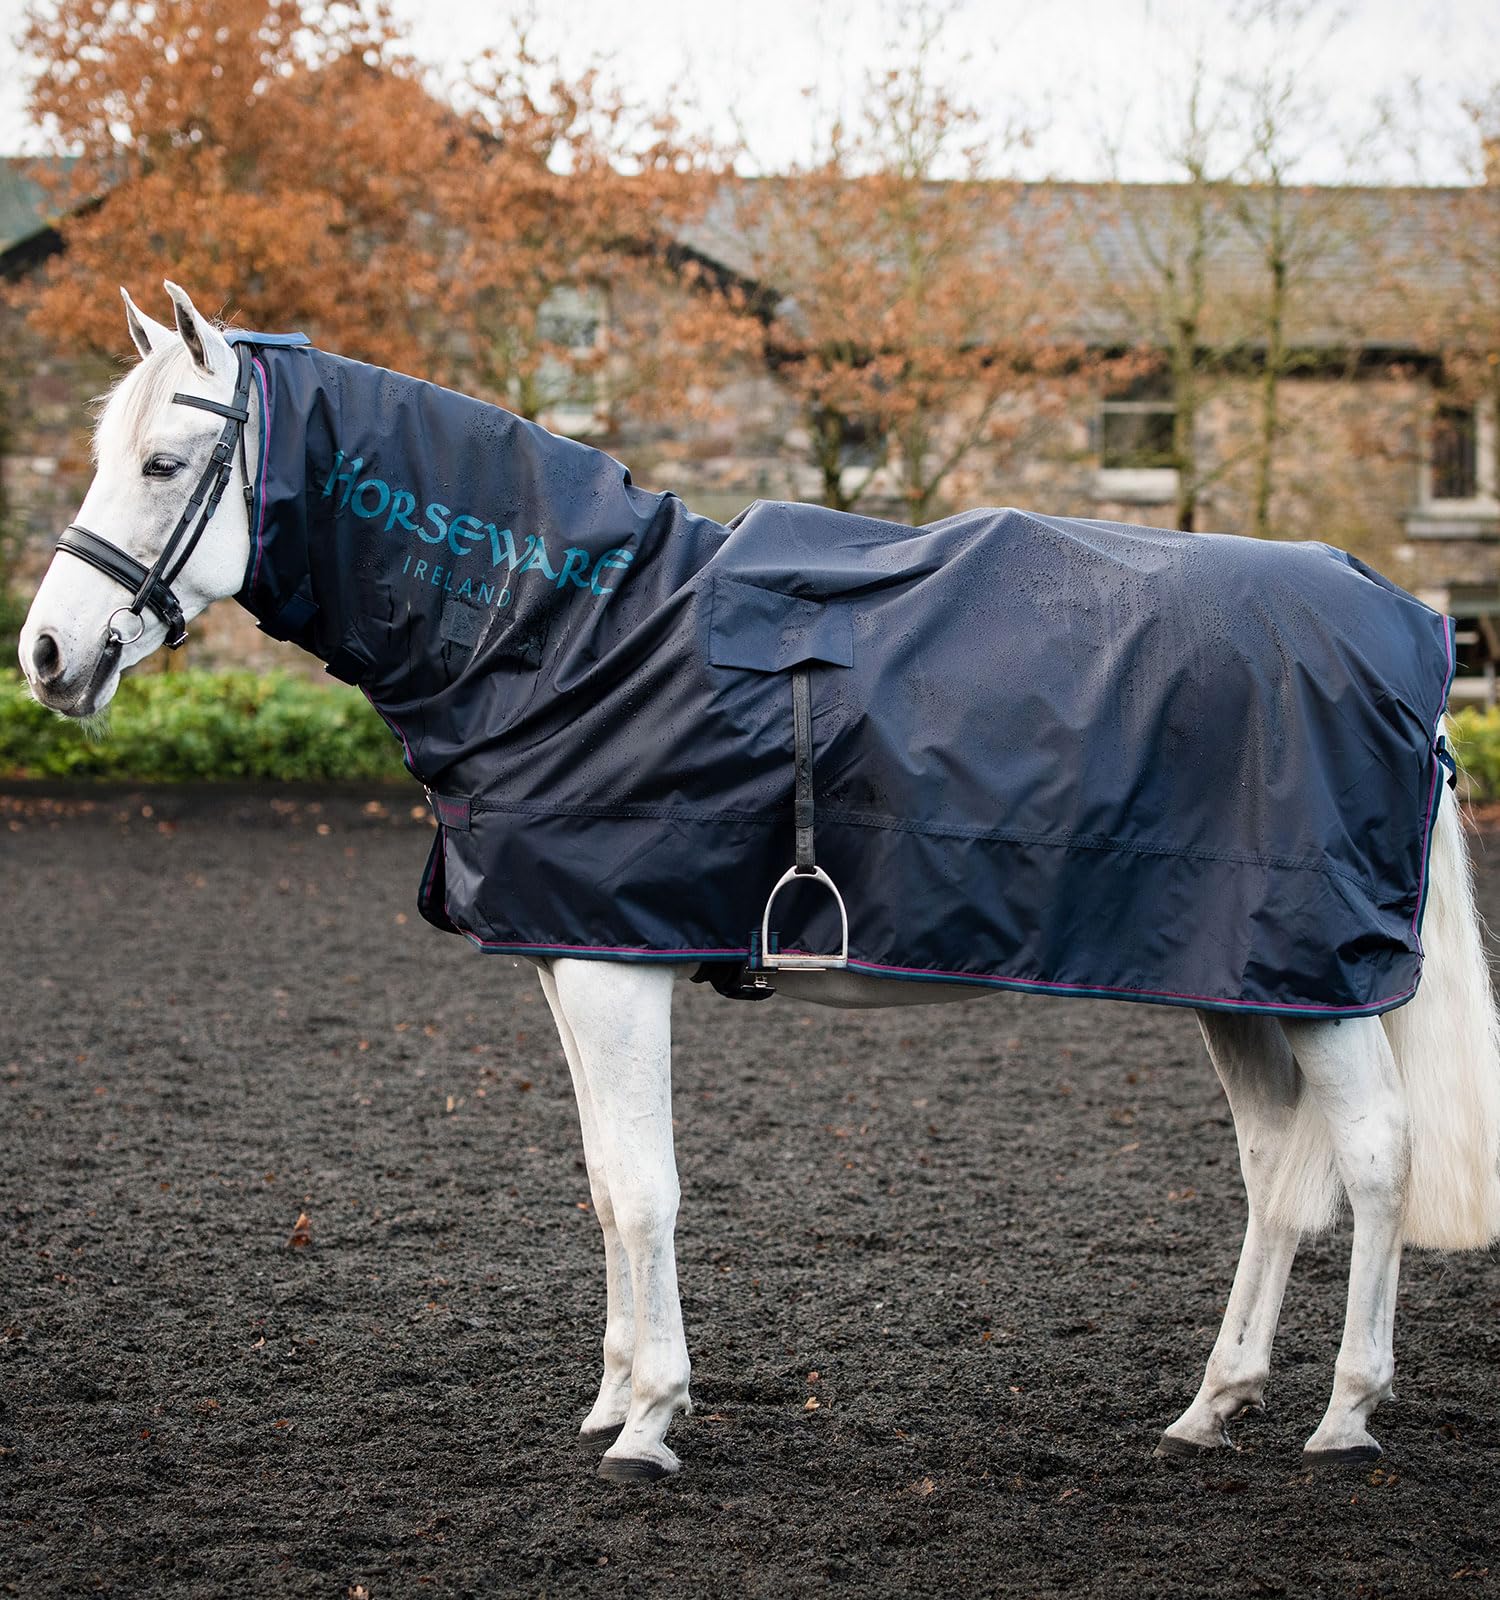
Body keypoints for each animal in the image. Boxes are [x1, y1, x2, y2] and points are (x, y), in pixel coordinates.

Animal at [17, 282, 1500, 1486]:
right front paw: (613, 1397)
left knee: (1376, 1158)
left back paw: (1345, 1415)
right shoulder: (571, 956)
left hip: (1319, 984)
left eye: (162, 462)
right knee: (1278, 1173)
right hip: (1241, 981)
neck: (577, 634)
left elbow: (645, 1189)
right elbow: (603, 1183)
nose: (44, 653)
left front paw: (651, 1421)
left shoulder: (618, 969)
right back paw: (1214, 1405)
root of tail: (1403, 633)